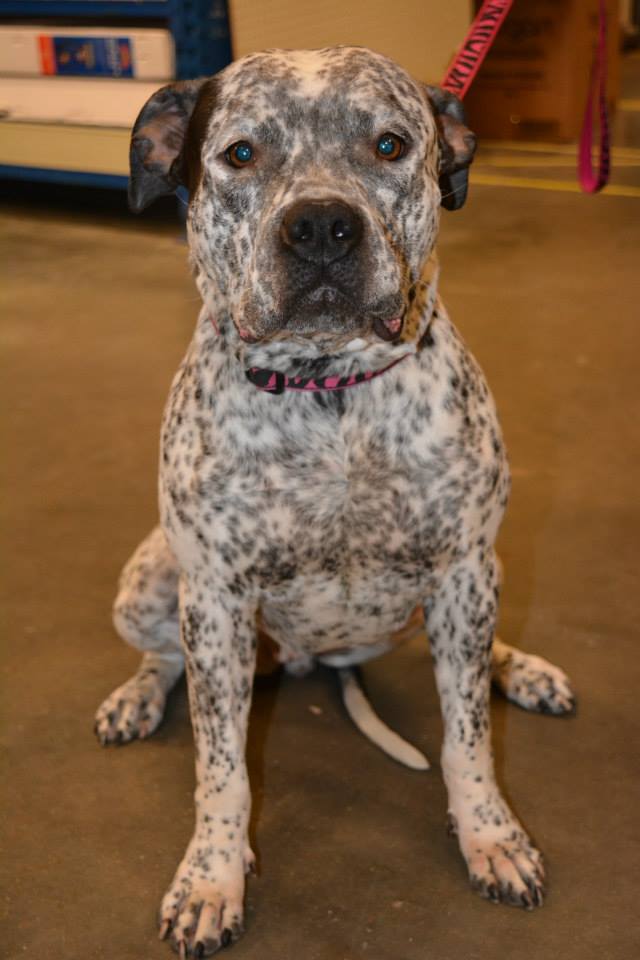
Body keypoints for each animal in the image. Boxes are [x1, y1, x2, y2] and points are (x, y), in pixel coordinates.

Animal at [94, 48, 576, 956]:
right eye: (241, 153)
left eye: (390, 145)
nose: (321, 226)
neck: (331, 394)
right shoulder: (215, 601)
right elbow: (222, 768)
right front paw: (211, 878)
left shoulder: (463, 568)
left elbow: (469, 741)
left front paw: (490, 836)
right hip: (150, 585)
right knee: (164, 658)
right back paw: (135, 697)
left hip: (463, 594)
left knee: (478, 656)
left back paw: (523, 670)